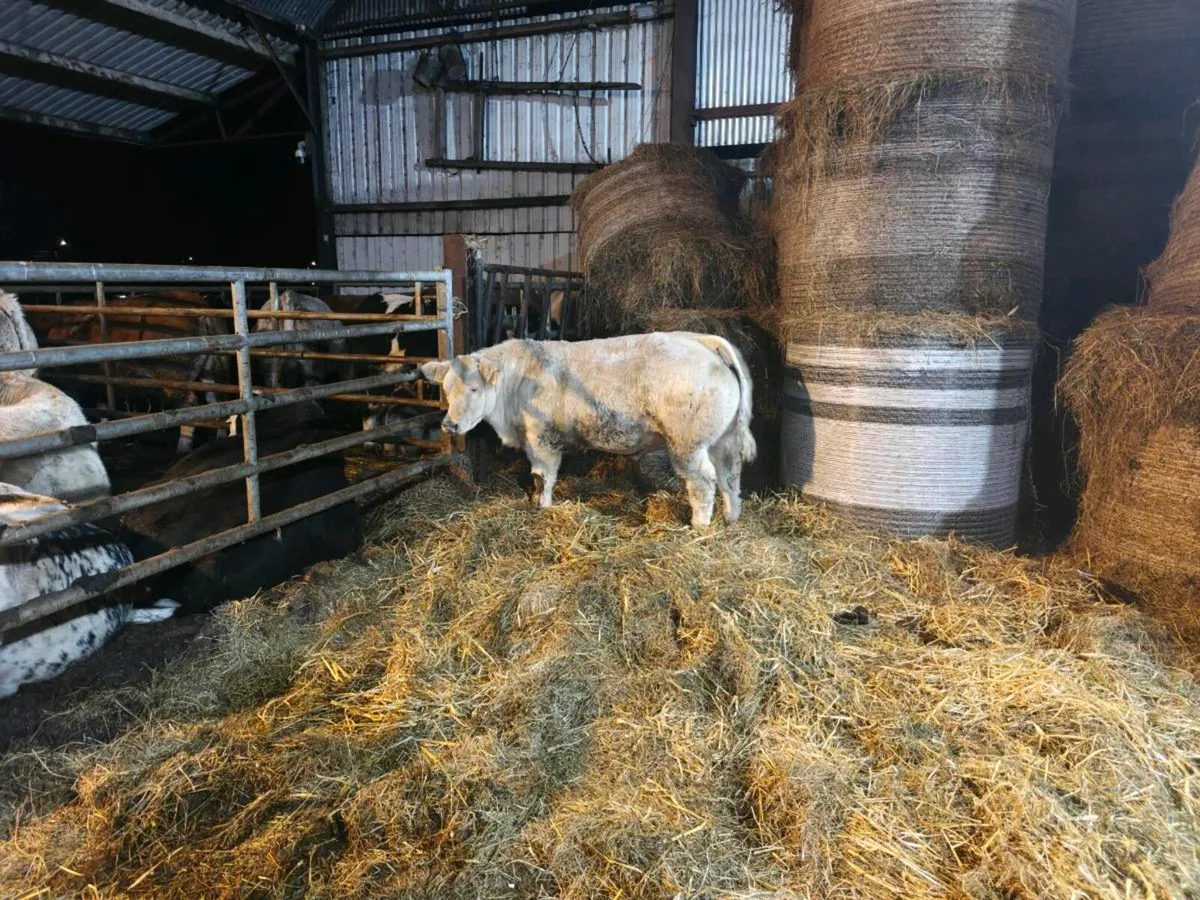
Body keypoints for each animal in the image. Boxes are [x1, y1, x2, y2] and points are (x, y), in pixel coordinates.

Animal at [41, 291, 234, 456]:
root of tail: (198, 305)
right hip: (209, 371)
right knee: (215, 400)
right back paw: (220, 437)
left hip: (172, 377)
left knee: (190, 404)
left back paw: (183, 446)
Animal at [419, 333, 756, 527]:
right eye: (446, 389)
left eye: (474, 389)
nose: (449, 424)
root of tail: (704, 343)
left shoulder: (541, 440)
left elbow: (543, 477)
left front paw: (543, 508)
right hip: (723, 440)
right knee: (730, 476)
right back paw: (731, 518)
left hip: (687, 444)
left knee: (703, 482)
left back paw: (699, 526)